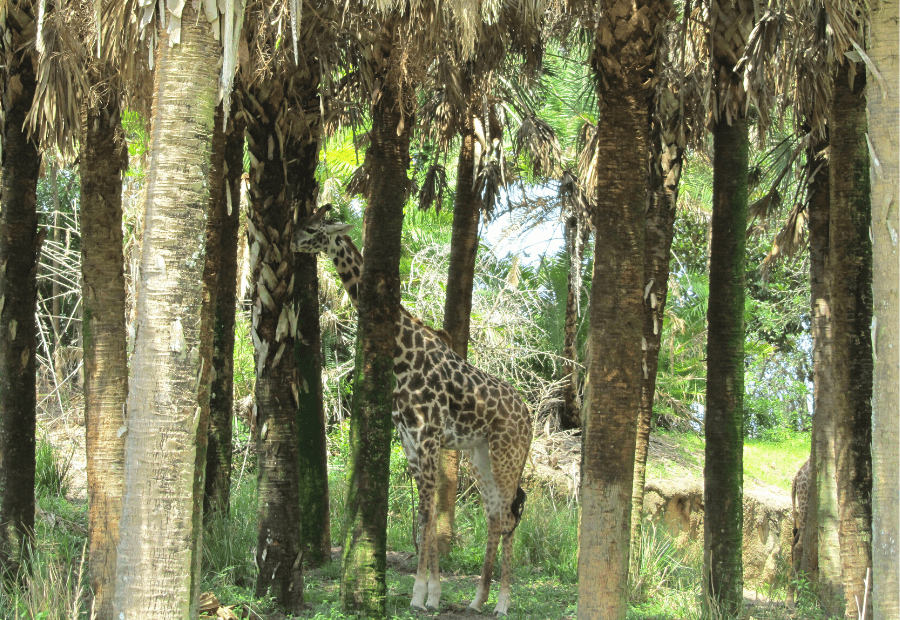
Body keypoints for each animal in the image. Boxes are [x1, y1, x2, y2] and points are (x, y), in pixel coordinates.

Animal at [294, 205, 536, 616]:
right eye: (303, 222)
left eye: (313, 228)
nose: (291, 240)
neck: (402, 356)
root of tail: (530, 417)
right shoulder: (409, 439)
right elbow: (425, 515)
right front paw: (432, 594)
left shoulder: (428, 435)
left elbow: (425, 512)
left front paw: (419, 595)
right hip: (480, 455)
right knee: (493, 514)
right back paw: (478, 599)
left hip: (507, 454)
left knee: (507, 514)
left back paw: (502, 603)